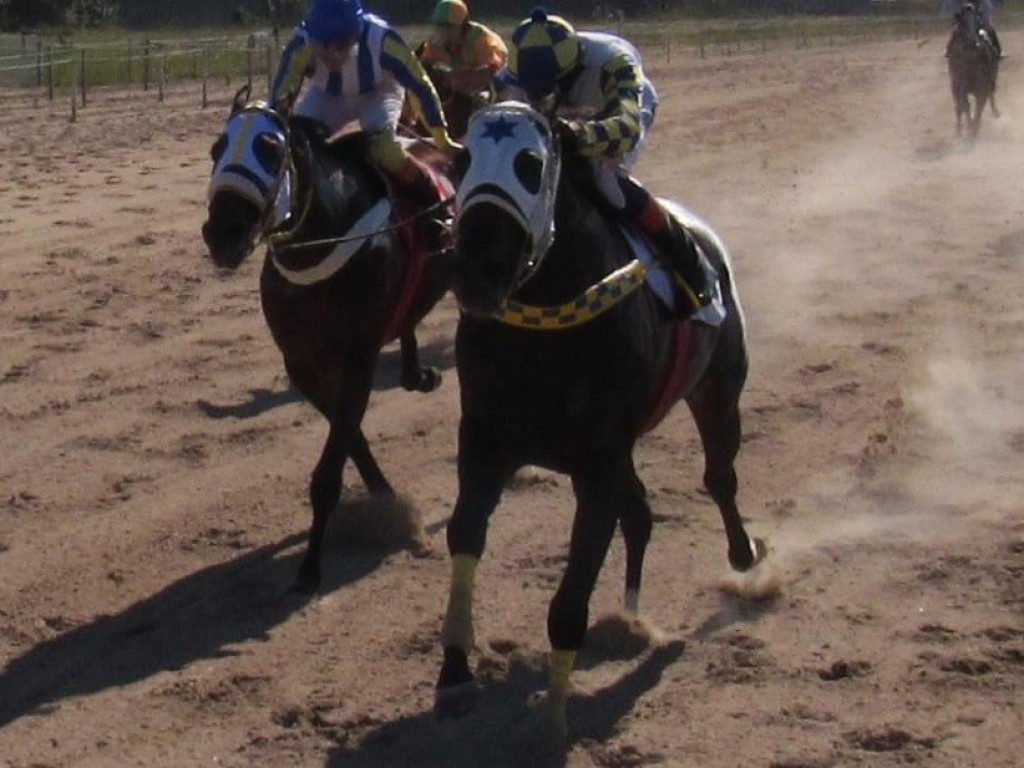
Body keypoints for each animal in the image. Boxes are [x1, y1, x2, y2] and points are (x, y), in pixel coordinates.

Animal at [200, 88, 456, 593]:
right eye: (216, 148)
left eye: (269, 148)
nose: (222, 232)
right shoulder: (302, 362)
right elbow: (350, 436)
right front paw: (384, 497)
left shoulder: (357, 356)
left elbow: (331, 466)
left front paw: (310, 567)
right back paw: (418, 373)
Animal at [942, 1, 999, 138]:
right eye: (962, 23)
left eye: (978, 21)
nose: (974, 42)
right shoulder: (960, 88)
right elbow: (966, 108)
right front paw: (968, 130)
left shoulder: (982, 87)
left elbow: (978, 109)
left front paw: (973, 131)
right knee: (959, 108)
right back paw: (958, 130)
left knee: (990, 95)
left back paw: (995, 112)